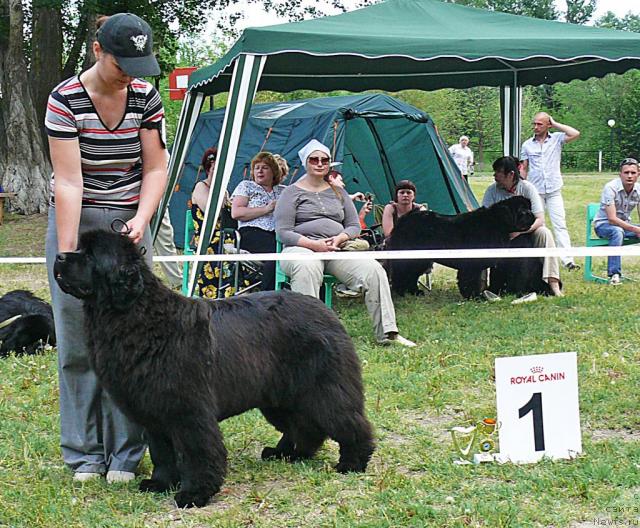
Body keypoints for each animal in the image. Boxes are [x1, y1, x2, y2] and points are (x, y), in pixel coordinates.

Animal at [55, 230, 378, 508]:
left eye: (90, 255)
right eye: (80, 248)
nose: (59, 256)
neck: (137, 315)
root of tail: (326, 311)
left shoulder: (189, 410)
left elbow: (198, 452)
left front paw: (194, 494)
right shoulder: (154, 411)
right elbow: (162, 452)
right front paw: (160, 483)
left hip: (323, 388)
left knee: (347, 421)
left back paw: (352, 462)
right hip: (279, 397)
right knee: (303, 425)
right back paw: (288, 453)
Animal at [384, 196, 552, 300]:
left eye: (529, 208)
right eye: (521, 210)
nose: (533, 216)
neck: (496, 222)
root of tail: (403, 220)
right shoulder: (472, 264)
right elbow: (470, 280)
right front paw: (475, 297)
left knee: (410, 275)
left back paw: (413, 291)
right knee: (402, 274)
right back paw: (402, 291)